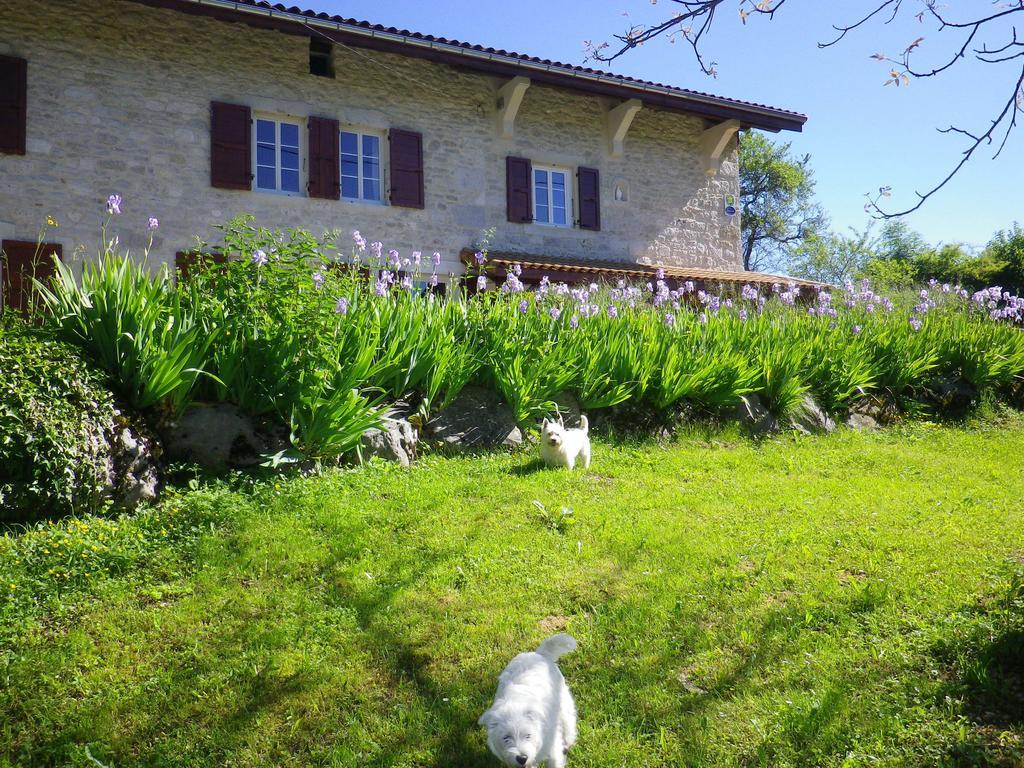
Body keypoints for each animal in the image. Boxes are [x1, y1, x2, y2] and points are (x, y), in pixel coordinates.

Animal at [477, 634, 577, 765]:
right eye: (506, 737)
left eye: (528, 735)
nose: (522, 758)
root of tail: (539, 654)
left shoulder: (553, 749)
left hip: (563, 700)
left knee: (569, 719)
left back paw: (569, 740)